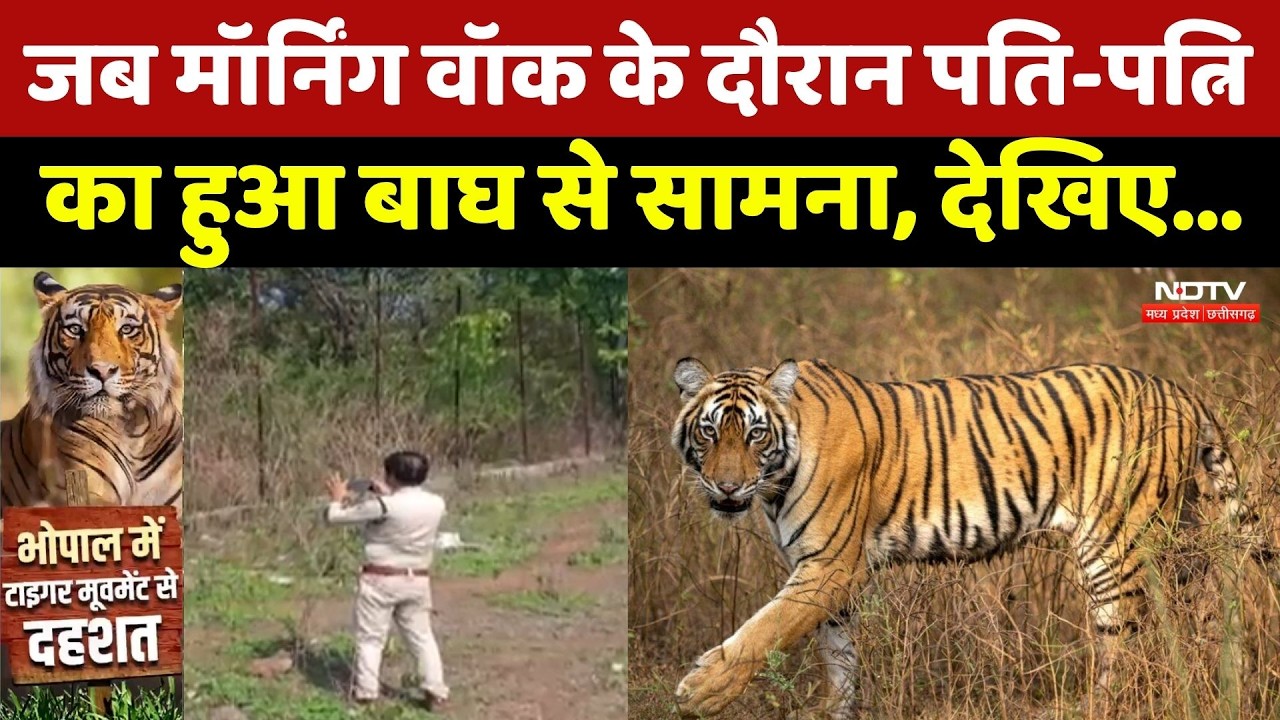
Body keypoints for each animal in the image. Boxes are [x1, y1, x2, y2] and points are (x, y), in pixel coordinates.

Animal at [668, 356, 1278, 719]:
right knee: (1188, 624)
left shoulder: (830, 567)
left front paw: (701, 690)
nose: (726, 486)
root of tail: (1177, 389)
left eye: (755, 434)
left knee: (1126, 648)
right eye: (709, 432)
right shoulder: (829, 580)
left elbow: (764, 629)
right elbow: (838, 661)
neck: (775, 481)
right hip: (1179, 541)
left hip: (1114, 545)